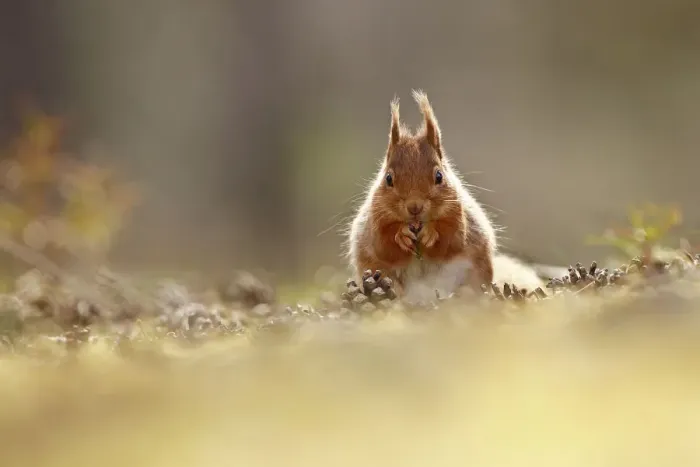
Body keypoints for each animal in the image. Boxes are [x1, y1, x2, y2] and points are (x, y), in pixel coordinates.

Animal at [346, 90, 542, 300]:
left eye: (439, 176)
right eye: (388, 178)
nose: (414, 207)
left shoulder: (457, 213)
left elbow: (453, 238)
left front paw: (432, 233)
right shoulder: (375, 219)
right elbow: (383, 245)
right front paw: (401, 235)